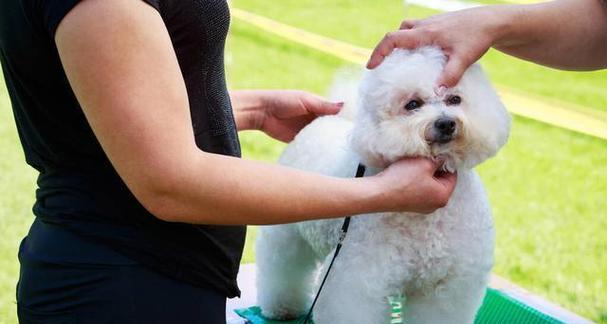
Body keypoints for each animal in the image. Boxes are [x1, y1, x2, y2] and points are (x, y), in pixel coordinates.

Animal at [254, 46, 510, 324]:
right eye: (413, 105)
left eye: (455, 99)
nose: (446, 123)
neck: (429, 222)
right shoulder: (357, 279)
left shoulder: (449, 286)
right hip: (287, 233)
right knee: (283, 267)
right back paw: (283, 307)